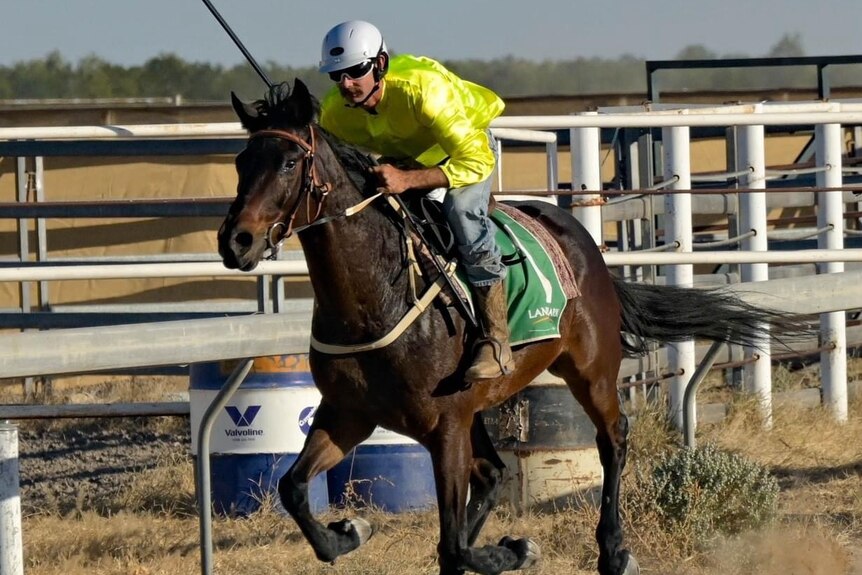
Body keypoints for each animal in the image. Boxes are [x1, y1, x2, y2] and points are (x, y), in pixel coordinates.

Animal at [218, 80, 803, 575]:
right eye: (242, 160)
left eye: (289, 161)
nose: (236, 240)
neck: (374, 297)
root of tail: (579, 236)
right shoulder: (349, 414)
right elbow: (293, 489)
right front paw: (348, 532)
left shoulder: (444, 427)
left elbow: (453, 544)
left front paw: (514, 549)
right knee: (494, 472)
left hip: (589, 369)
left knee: (612, 438)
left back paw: (613, 550)